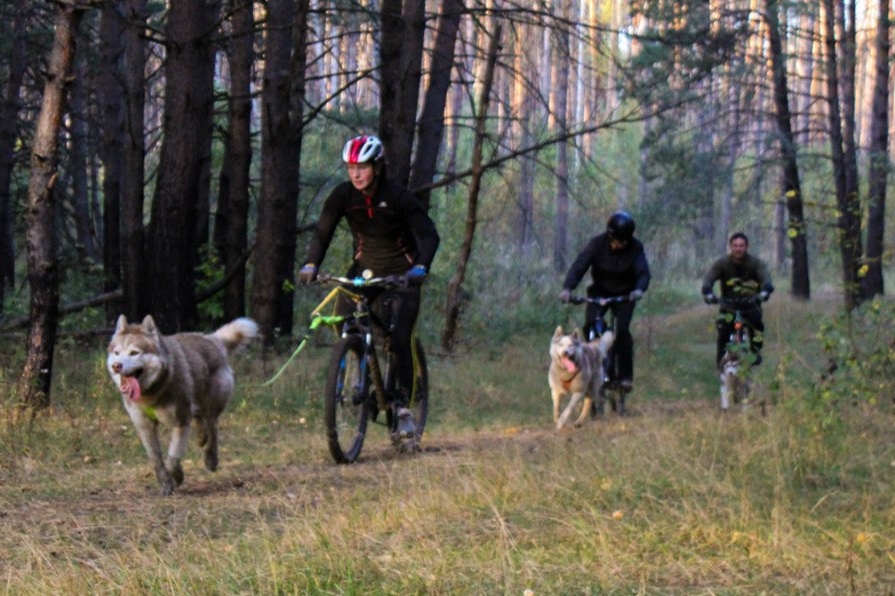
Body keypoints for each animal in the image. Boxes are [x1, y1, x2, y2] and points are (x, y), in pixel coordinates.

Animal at [107, 314, 260, 496]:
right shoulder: (144, 426)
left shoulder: (179, 422)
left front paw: (178, 477)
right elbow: (156, 459)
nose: (117, 366)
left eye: (134, 353)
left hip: (209, 405)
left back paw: (211, 459)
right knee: (199, 421)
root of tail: (211, 338)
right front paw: (165, 484)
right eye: (116, 353)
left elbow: (172, 459)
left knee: (212, 428)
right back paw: (201, 437)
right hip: (193, 404)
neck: (152, 392)